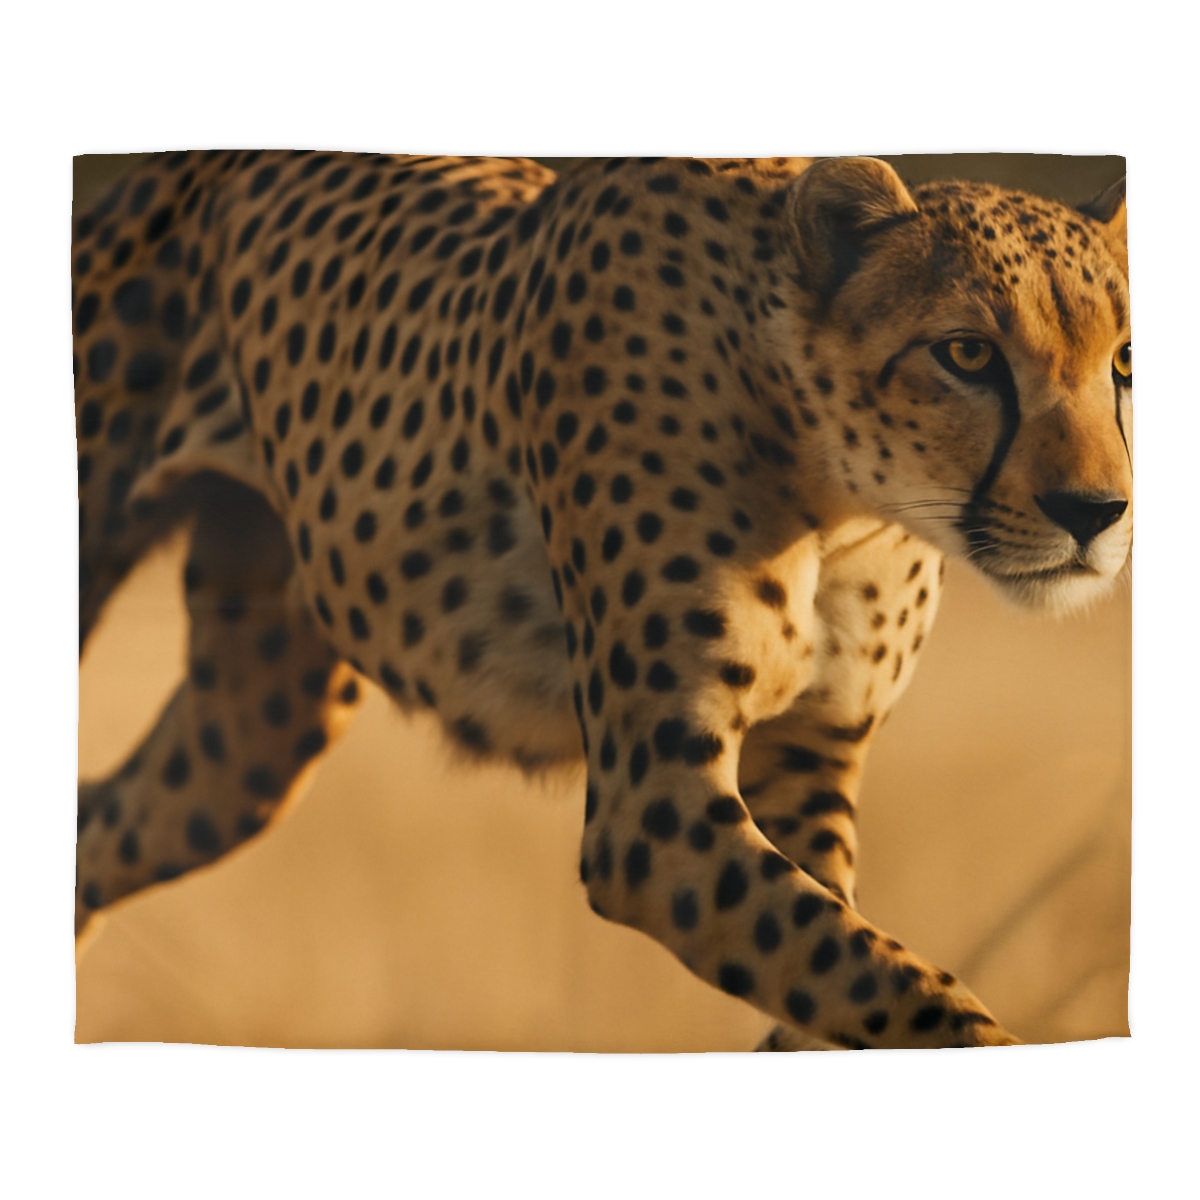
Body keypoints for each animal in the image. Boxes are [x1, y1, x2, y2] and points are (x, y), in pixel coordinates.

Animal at [73, 152, 1131, 1050]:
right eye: (967, 354)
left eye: (1125, 363)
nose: (1096, 511)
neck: (840, 494)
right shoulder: (653, 813)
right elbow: (899, 991)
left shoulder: (810, 760)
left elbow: (842, 969)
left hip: (254, 731)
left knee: (98, 826)